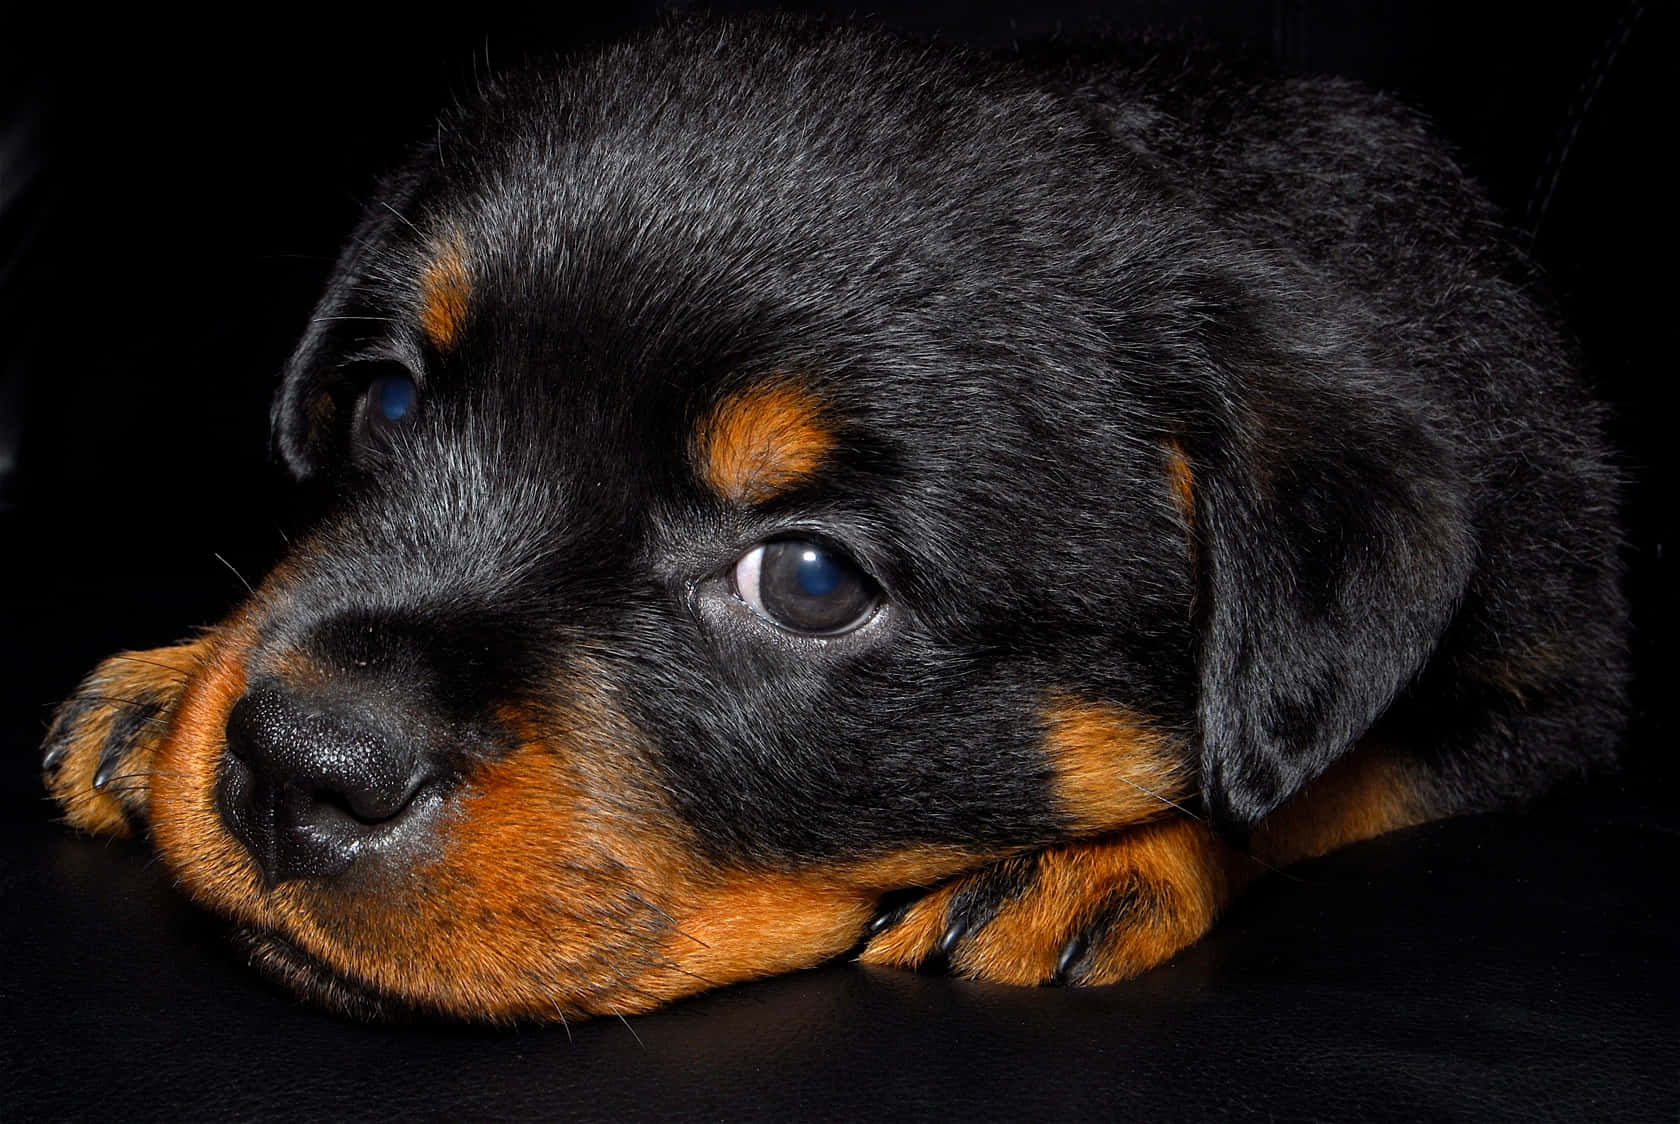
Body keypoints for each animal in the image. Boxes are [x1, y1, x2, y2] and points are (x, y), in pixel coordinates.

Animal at [45, 17, 1626, 1021]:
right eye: (384, 404)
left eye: (806, 579)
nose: (300, 762)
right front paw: (168, 680)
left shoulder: (1553, 685)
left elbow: (1322, 783)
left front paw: (1104, 855)